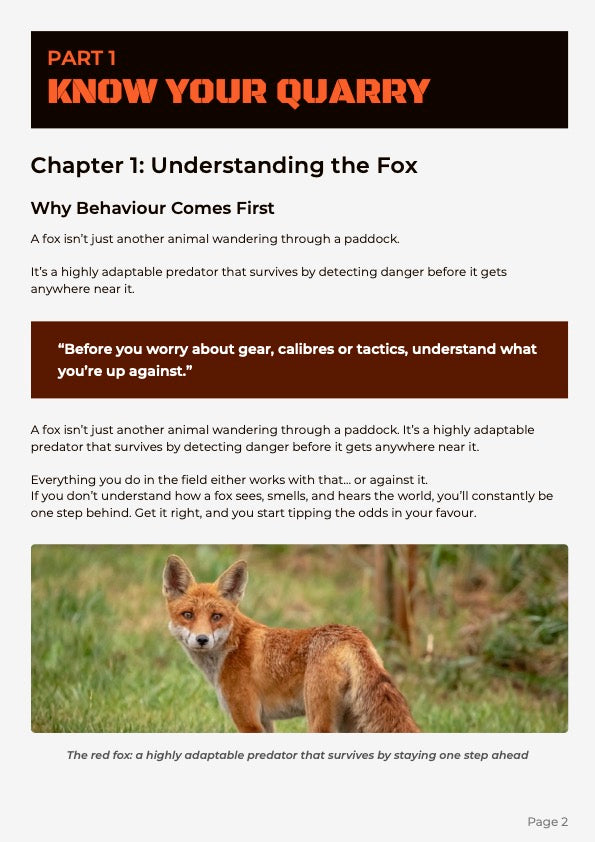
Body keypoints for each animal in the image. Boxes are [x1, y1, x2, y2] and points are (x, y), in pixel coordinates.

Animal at [163, 554, 420, 733]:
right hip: (352, 724)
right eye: (188, 615)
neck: (229, 651)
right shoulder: (265, 721)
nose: (202, 639)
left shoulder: (248, 721)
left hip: (319, 721)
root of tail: (352, 636)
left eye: (216, 616)